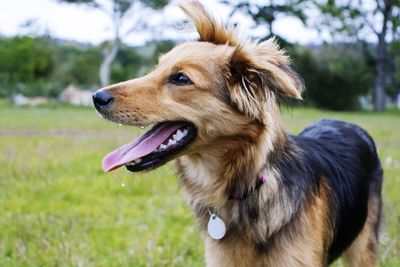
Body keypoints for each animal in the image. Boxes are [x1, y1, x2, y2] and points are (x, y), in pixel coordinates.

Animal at [92, 1, 382, 266]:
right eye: (155, 69)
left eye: (181, 79)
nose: (97, 97)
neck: (249, 184)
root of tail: (345, 122)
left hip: (363, 249)